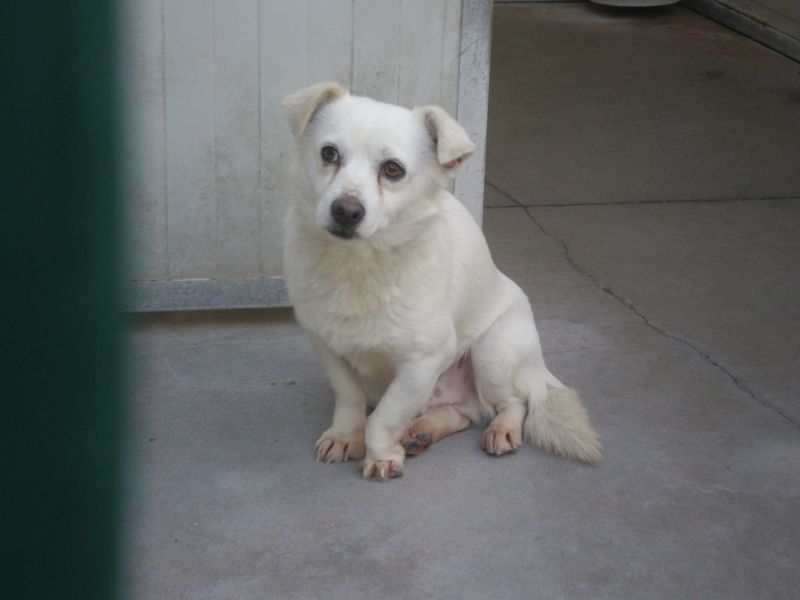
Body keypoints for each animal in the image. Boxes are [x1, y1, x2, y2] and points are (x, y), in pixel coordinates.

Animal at [282, 82, 600, 480]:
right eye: (329, 153)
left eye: (392, 169)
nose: (346, 211)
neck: (358, 266)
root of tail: (538, 369)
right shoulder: (327, 346)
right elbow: (350, 398)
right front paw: (343, 436)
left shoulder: (422, 363)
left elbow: (383, 418)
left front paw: (381, 455)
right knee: (462, 413)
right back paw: (420, 432)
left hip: (492, 352)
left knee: (514, 402)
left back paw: (501, 430)